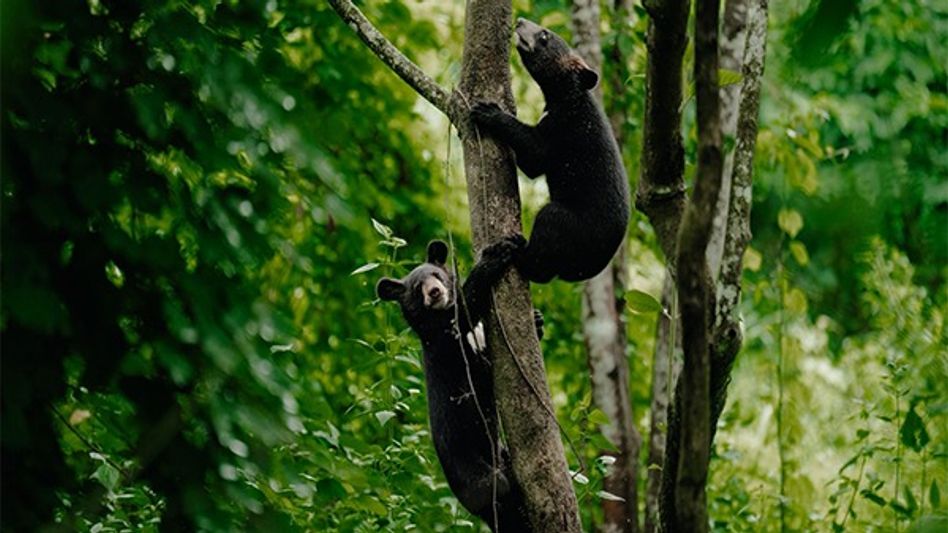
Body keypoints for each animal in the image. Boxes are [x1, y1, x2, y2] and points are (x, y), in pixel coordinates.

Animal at [376, 239, 537, 532]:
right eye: (417, 288)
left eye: (436, 275)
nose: (435, 292)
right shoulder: (445, 343)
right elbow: (464, 312)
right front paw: (495, 255)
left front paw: (539, 320)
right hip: (475, 476)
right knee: (500, 493)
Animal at [471, 18, 630, 283]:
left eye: (545, 36)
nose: (520, 21)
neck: (565, 97)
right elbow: (531, 163)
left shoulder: (565, 127)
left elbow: (537, 155)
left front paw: (488, 111)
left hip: (575, 228)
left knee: (548, 228)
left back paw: (515, 252)